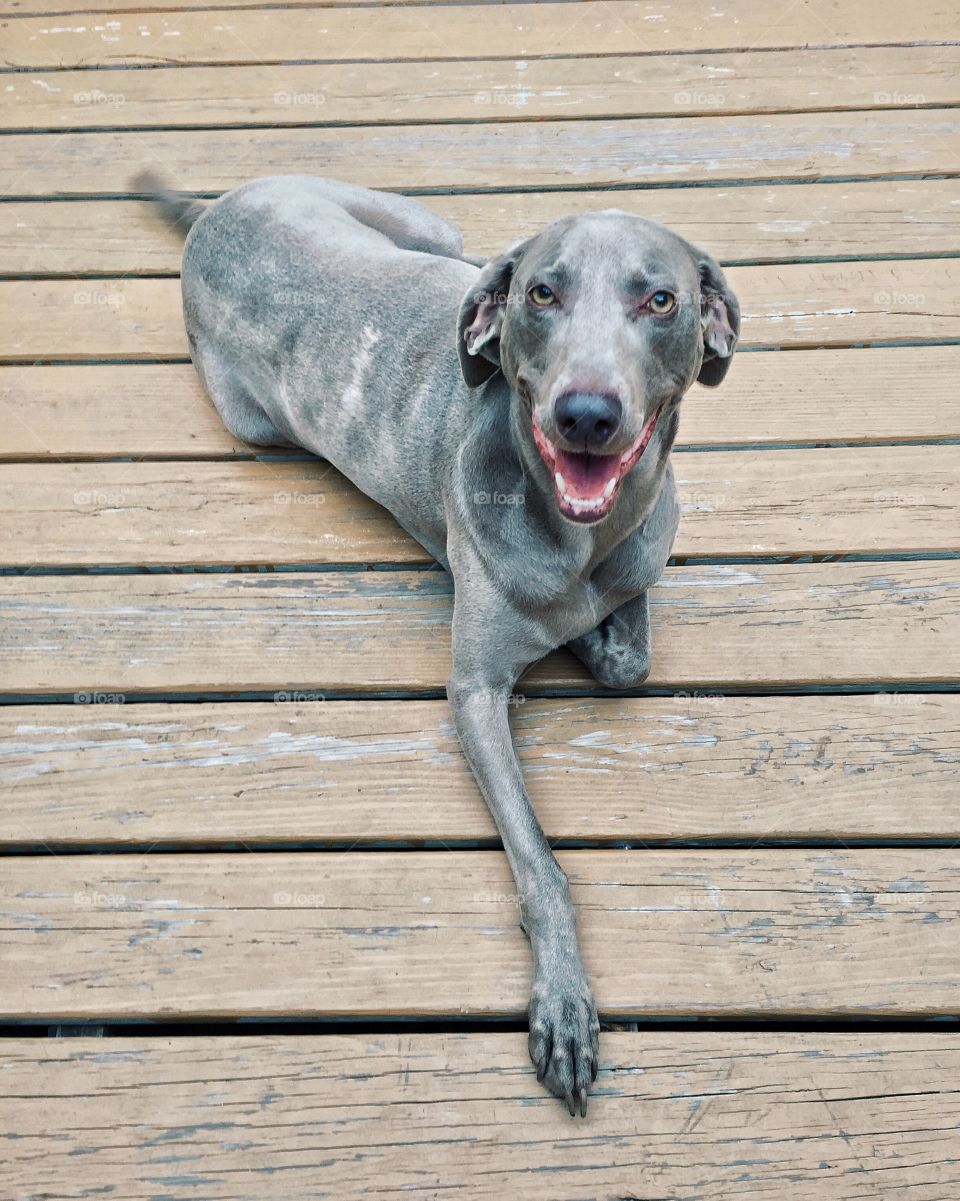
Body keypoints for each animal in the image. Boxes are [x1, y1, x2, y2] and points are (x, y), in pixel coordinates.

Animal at [135, 169, 740, 1114]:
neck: (581, 537)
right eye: (542, 293)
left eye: (661, 299)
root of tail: (217, 209)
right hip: (256, 417)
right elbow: (541, 863)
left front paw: (591, 626)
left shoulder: (632, 569)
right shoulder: (473, 692)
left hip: (425, 227)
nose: (585, 414)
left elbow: (626, 653)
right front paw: (564, 1004)